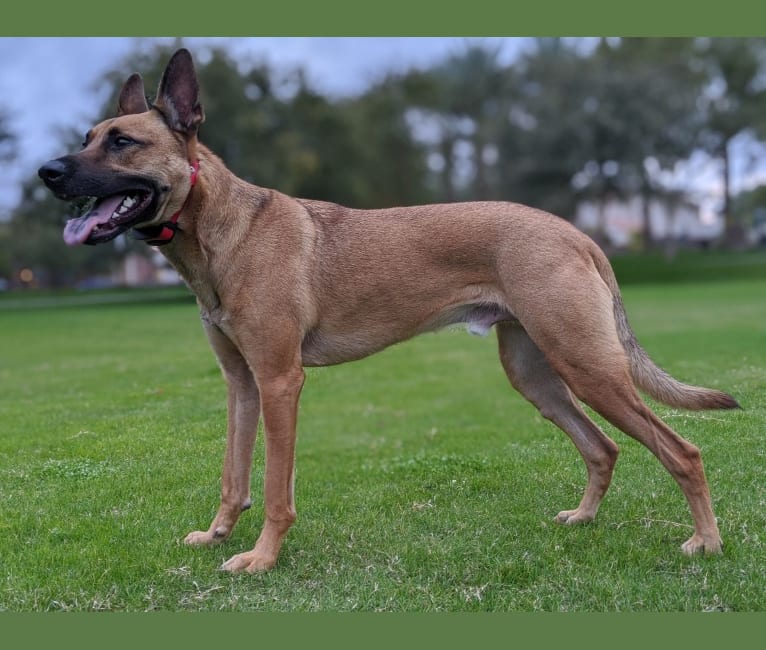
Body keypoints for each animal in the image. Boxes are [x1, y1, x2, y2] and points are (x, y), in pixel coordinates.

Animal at [39, 48, 740, 568]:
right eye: (87, 137)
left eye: (122, 142)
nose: (47, 172)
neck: (222, 228)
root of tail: (575, 233)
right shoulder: (240, 383)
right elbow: (233, 477)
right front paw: (217, 535)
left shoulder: (280, 382)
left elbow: (274, 488)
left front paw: (262, 558)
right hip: (537, 374)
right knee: (603, 449)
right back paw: (586, 518)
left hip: (590, 368)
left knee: (681, 451)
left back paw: (705, 542)